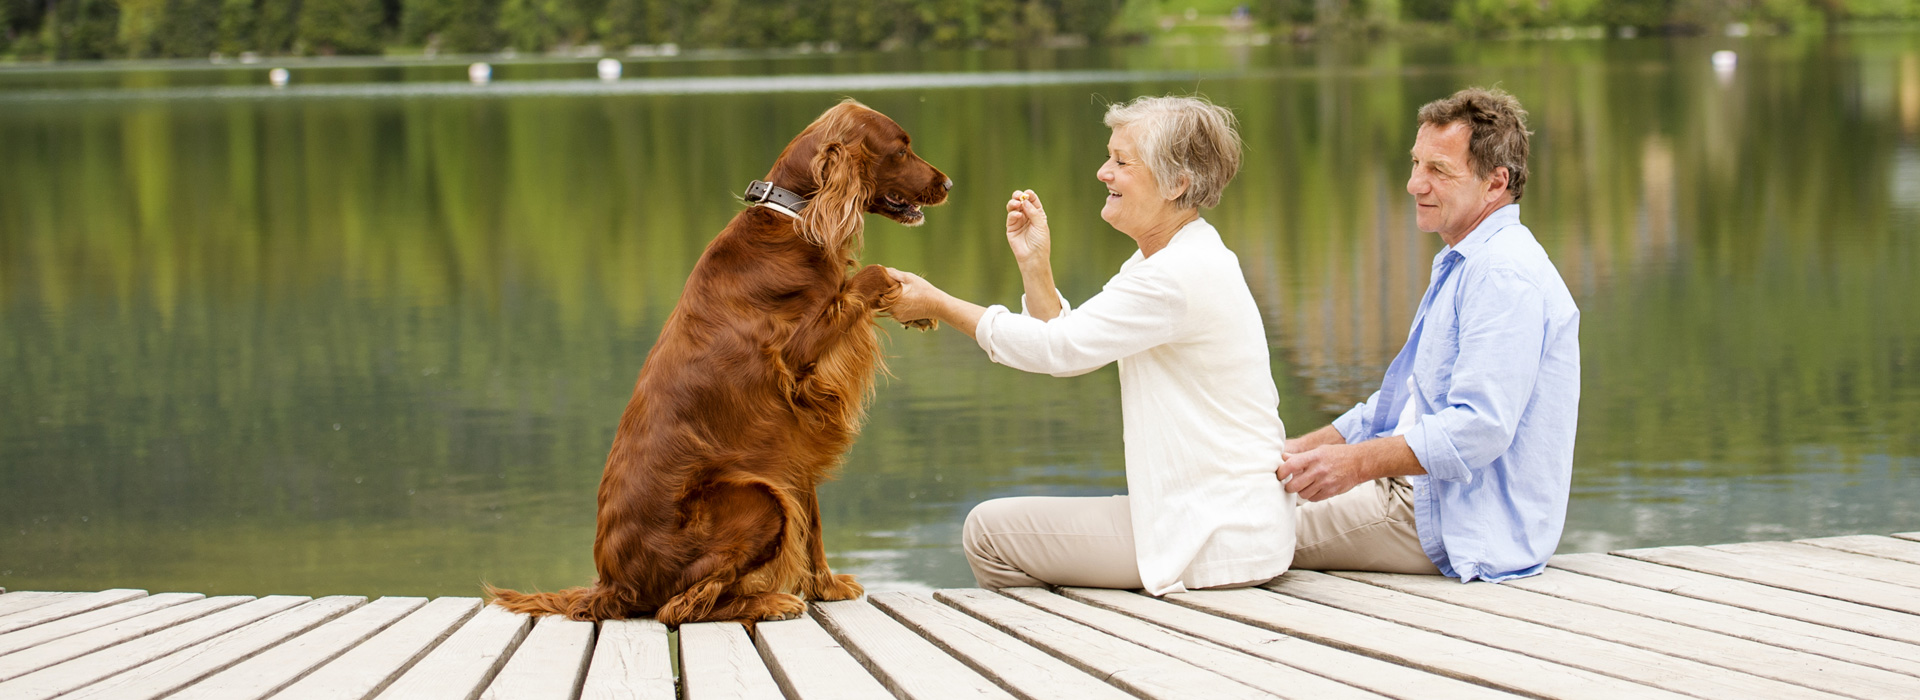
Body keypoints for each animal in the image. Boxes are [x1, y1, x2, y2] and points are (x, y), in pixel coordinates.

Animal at [487, 98, 952, 621]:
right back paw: (769, 600)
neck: (795, 218)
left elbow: (812, 520)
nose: (949, 184)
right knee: (684, 604)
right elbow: (872, 274)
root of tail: (613, 583)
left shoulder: (793, 442)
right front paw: (900, 291)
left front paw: (826, 586)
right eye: (901, 149)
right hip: (757, 497)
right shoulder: (796, 363)